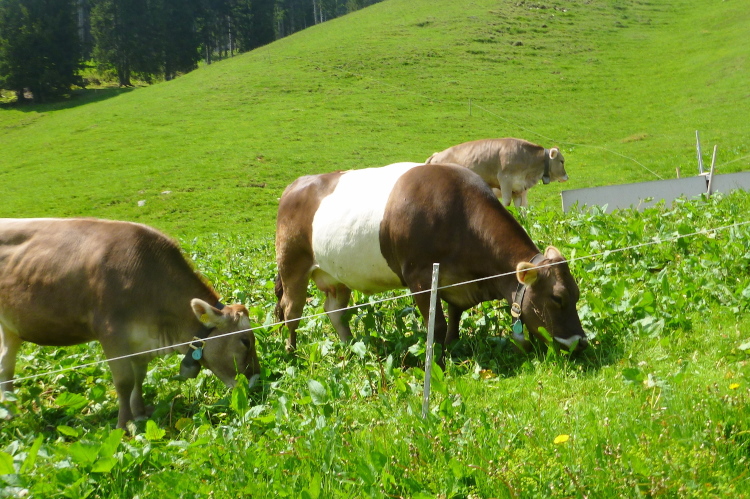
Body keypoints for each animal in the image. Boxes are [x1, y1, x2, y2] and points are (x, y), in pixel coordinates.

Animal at [0, 218, 261, 429]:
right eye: (245, 342)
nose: (257, 381)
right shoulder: (112, 334)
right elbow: (124, 381)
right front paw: (124, 424)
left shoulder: (140, 341)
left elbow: (139, 377)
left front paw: (140, 413)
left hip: (10, 327)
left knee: (6, 365)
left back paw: (9, 412)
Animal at [274, 162, 587, 362]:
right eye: (558, 298)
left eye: (577, 295)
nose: (579, 344)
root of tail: (296, 184)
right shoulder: (420, 277)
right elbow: (435, 324)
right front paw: (436, 359)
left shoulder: (456, 282)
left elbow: (455, 316)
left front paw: (452, 346)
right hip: (292, 264)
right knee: (291, 311)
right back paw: (290, 352)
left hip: (336, 277)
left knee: (335, 311)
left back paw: (351, 346)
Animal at [425, 138, 568, 208]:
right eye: (562, 161)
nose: (566, 177)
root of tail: (436, 155)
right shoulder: (505, 180)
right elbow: (506, 204)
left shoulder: (518, 189)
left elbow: (519, 208)